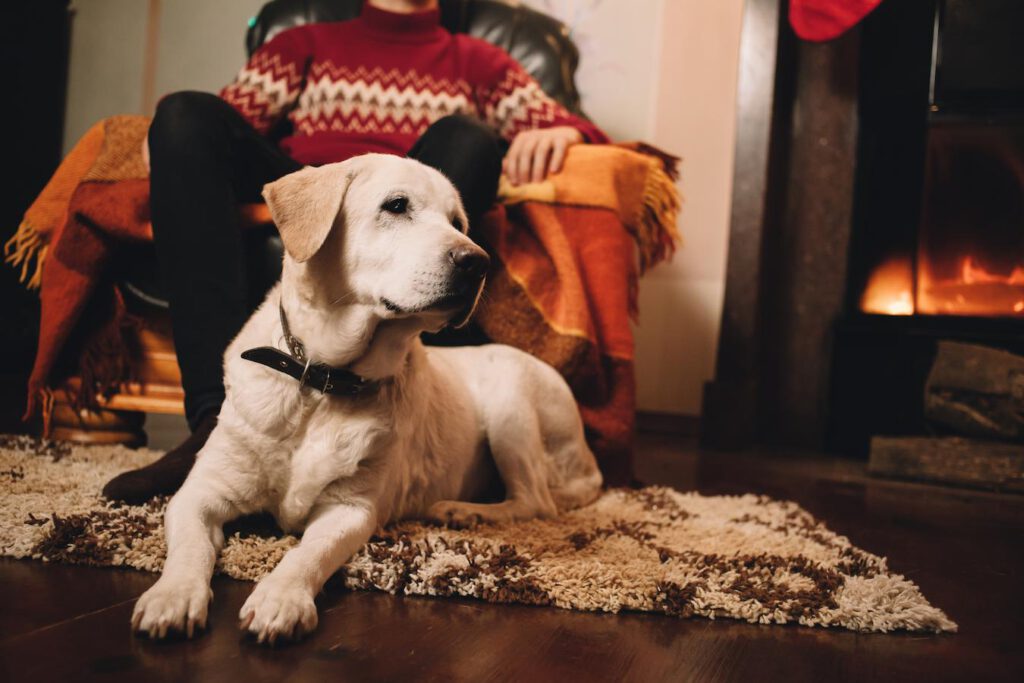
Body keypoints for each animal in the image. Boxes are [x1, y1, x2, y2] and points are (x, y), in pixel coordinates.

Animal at [132, 152, 602, 643]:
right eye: (396, 205)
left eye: (457, 222)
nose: (478, 262)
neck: (319, 381)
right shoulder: (199, 493)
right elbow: (190, 549)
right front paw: (172, 595)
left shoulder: (351, 509)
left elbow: (305, 555)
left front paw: (280, 598)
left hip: (510, 404)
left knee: (536, 501)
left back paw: (462, 512)